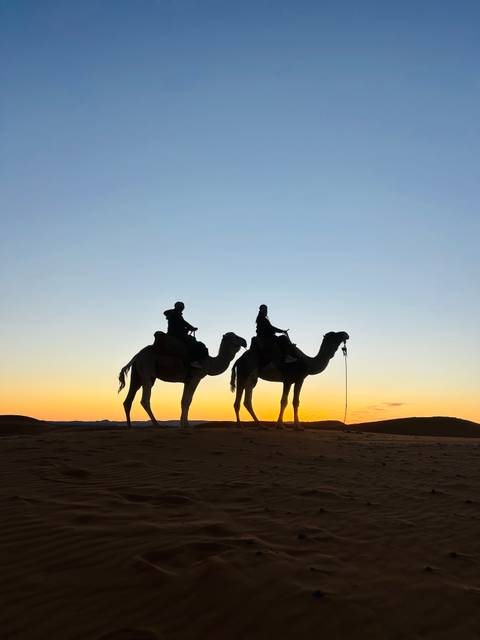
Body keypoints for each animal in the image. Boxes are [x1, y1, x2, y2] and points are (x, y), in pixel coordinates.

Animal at [118, 332, 247, 427]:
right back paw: (157, 425)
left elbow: (183, 400)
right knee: (144, 400)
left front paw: (182, 423)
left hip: (137, 375)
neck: (210, 363)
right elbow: (188, 401)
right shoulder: (195, 378)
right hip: (147, 373)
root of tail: (137, 356)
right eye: (235, 337)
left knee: (128, 399)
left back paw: (129, 426)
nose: (244, 341)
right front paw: (186, 424)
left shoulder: (187, 381)